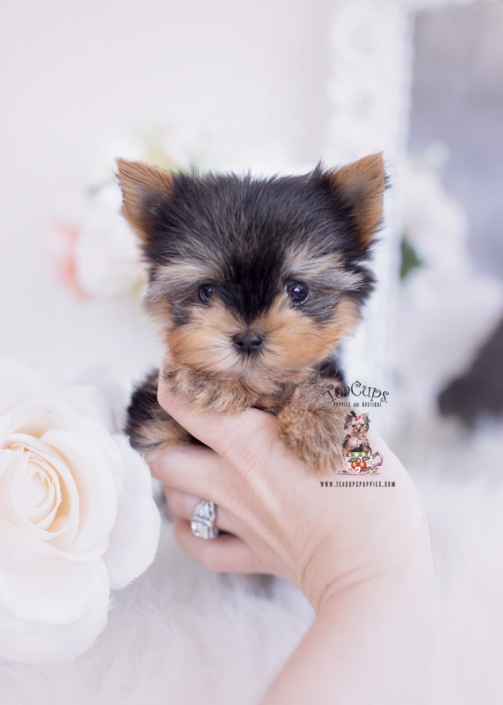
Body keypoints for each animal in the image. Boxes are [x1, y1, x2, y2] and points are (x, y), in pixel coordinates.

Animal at [118, 154, 386, 472]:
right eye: (206, 291)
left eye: (298, 290)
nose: (248, 339)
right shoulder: (150, 425)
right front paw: (209, 381)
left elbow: (321, 381)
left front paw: (320, 418)